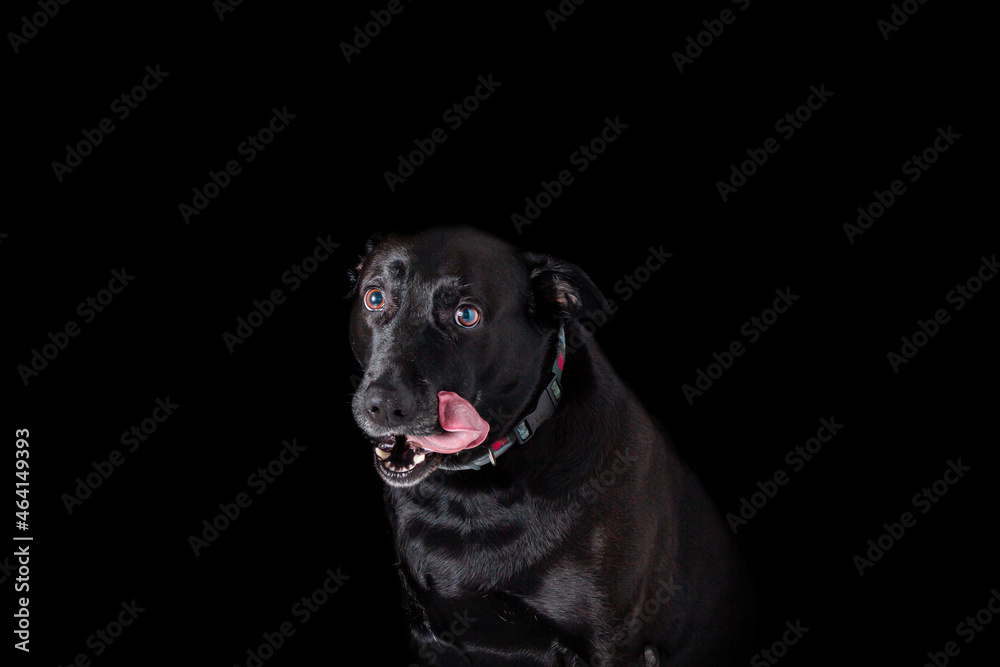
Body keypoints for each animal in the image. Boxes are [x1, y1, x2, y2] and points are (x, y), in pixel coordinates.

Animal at [348, 228, 752, 664]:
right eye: (375, 297)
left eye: (466, 316)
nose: (384, 405)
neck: (468, 498)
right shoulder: (430, 636)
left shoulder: (612, 644)